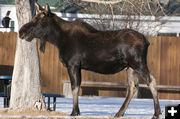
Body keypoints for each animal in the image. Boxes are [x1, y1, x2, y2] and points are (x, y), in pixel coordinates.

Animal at [19, 2, 162, 118]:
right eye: (34, 17)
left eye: (40, 20)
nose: (21, 31)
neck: (58, 40)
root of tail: (147, 41)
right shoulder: (78, 66)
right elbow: (77, 87)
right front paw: (77, 111)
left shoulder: (73, 64)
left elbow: (74, 88)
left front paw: (74, 112)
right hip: (130, 67)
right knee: (133, 87)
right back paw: (119, 113)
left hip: (138, 63)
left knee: (151, 81)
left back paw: (156, 113)